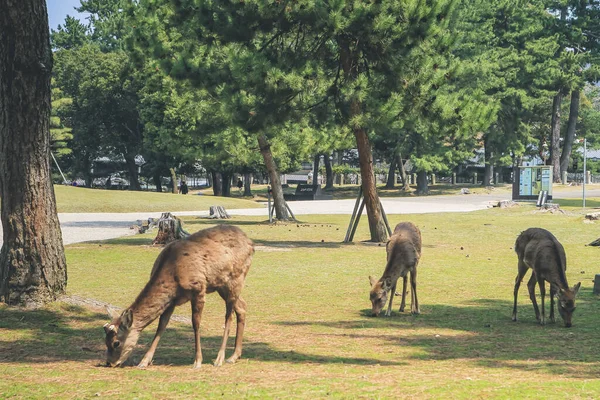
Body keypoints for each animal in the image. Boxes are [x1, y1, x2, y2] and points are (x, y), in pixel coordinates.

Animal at [103, 223, 253, 368]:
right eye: (105, 341)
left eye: (116, 342)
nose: (110, 363)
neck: (172, 274)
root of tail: (251, 244)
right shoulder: (171, 300)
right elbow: (161, 325)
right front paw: (144, 361)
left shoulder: (198, 288)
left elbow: (196, 323)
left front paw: (197, 361)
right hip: (221, 285)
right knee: (242, 306)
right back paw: (234, 356)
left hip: (236, 278)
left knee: (229, 316)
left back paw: (220, 358)